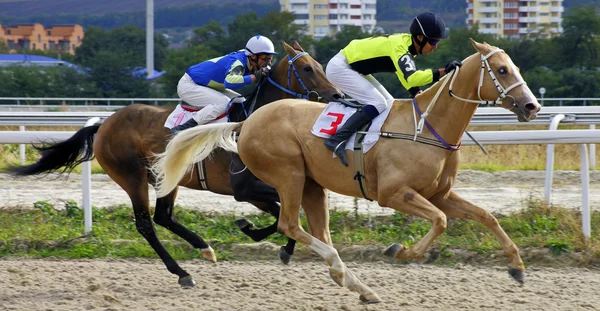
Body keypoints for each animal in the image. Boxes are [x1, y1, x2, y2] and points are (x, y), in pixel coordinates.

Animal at [3, 41, 342, 290]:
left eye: (319, 65)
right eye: (307, 68)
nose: (336, 94)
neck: (255, 122)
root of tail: (105, 124)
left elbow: (287, 213)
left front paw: (279, 244)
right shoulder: (243, 188)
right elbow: (283, 214)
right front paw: (257, 233)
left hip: (167, 178)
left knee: (163, 216)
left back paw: (204, 248)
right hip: (132, 177)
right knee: (146, 224)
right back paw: (182, 272)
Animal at [154, 39, 544, 304]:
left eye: (515, 67)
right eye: (503, 70)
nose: (532, 106)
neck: (427, 127)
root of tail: (246, 122)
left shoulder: (440, 194)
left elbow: (485, 216)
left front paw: (517, 266)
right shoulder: (394, 194)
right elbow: (440, 221)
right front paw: (399, 251)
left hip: (312, 185)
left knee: (317, 232)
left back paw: (357, 285)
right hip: (289, 175)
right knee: (289, 225)